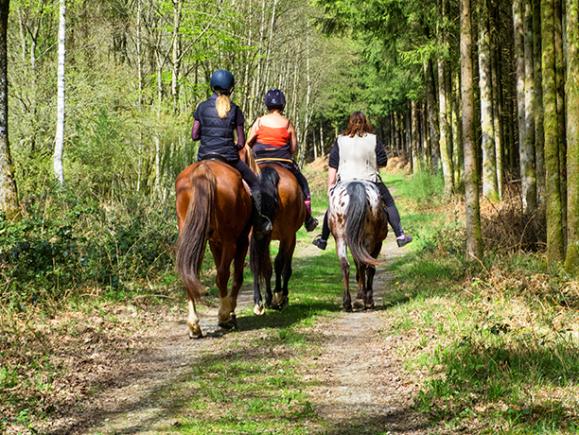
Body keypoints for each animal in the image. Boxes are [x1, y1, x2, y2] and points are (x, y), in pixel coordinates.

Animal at [174, 160, 251, 338]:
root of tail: (203, 169)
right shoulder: (242, 241)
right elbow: (237, 276)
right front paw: (230, 311)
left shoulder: (214, 243)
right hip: (231, 241)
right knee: (223, 275)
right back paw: (224, 316)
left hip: (192, 235)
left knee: (189, 272)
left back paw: (194, 325)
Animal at [250, 164, 306, 314]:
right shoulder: (291, 237)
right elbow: (286, 267)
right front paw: (282, 296)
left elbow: (265, 266)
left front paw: (268, 298)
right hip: (287, 234)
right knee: (279, 262)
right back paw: (278, 295)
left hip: (256, 234)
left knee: (258, 263)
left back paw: (260, 301)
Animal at [330, 181, 390, 314]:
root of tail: (355, 185)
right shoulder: (378, 243)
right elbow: (370, 268)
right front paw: (367, 298)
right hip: (370, 239)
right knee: (364, 265)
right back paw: (365, 301)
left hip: (340, 238)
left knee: (345, 265)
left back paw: (347, 303)